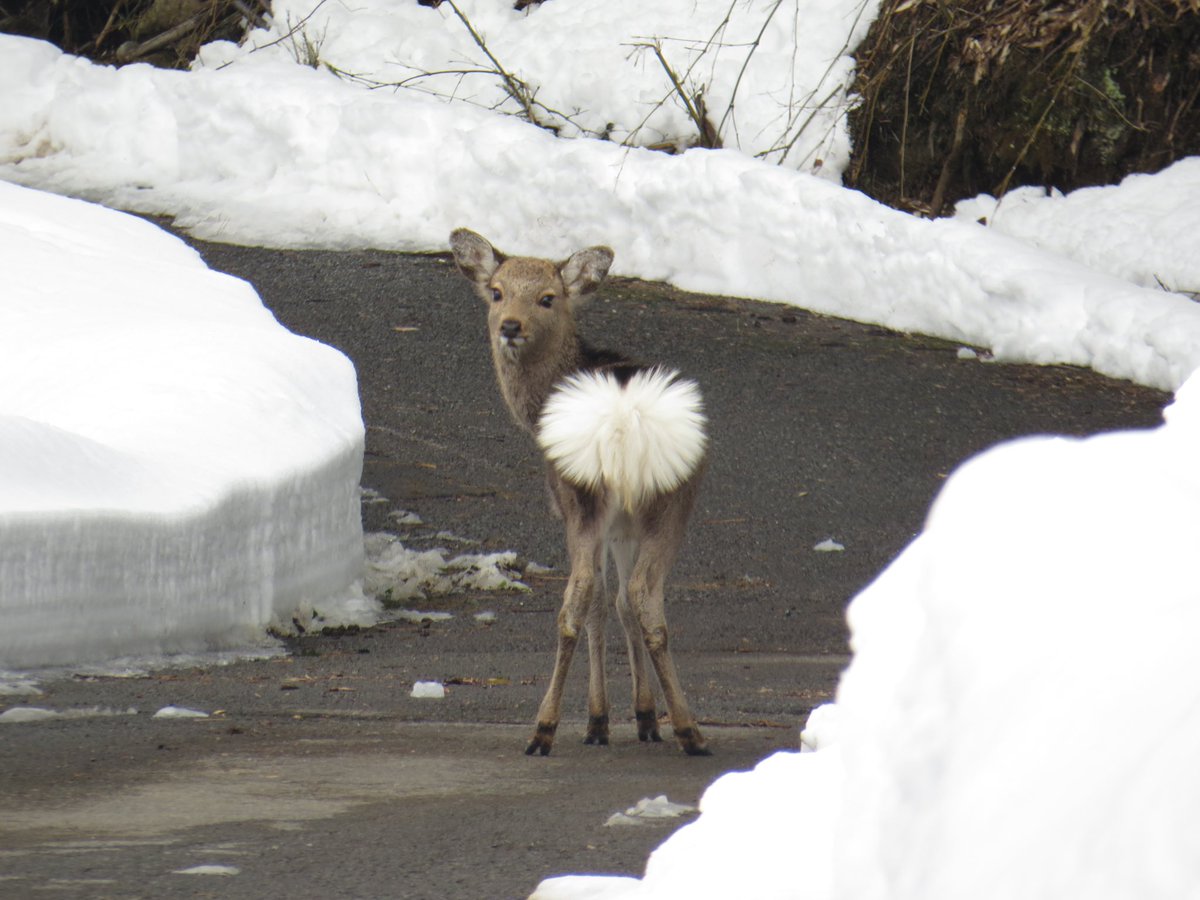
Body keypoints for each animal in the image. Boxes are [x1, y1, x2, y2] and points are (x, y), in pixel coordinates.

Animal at [449, 228, 710, 757]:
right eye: (497, 291)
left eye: (548, 298)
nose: (510, 326)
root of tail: (625, 420)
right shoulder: (623, 522)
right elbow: (619, 603)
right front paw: (640, 716)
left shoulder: (592, 511)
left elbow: (601, 602)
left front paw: (603, 720)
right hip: (657, 496)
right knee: (637, 596)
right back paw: (681, 726)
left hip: (588, 492)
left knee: (586, 596)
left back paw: (548, 729)